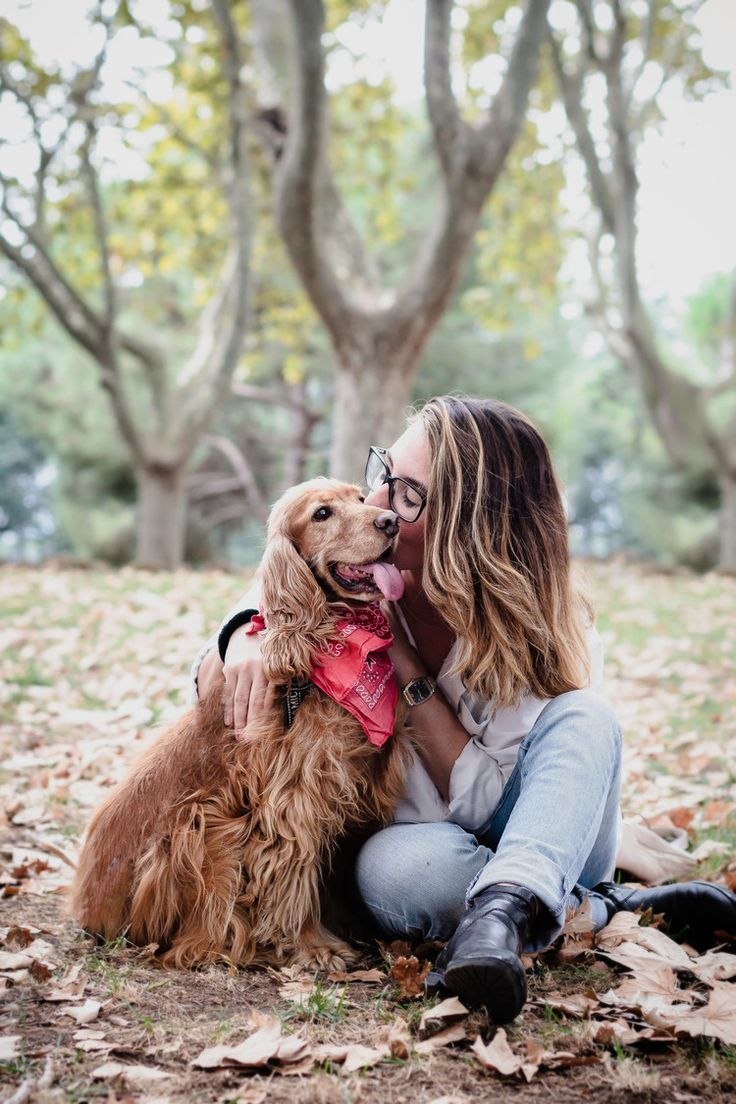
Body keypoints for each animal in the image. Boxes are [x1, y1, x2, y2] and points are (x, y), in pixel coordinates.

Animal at [70, 479, 408, 971]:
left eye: (361, 499)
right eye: (322, 514)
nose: (390, 522)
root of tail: (86, 910)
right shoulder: (293, 801)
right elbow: (296, 877)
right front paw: (314, 945)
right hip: (202, 830)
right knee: (190, 946)